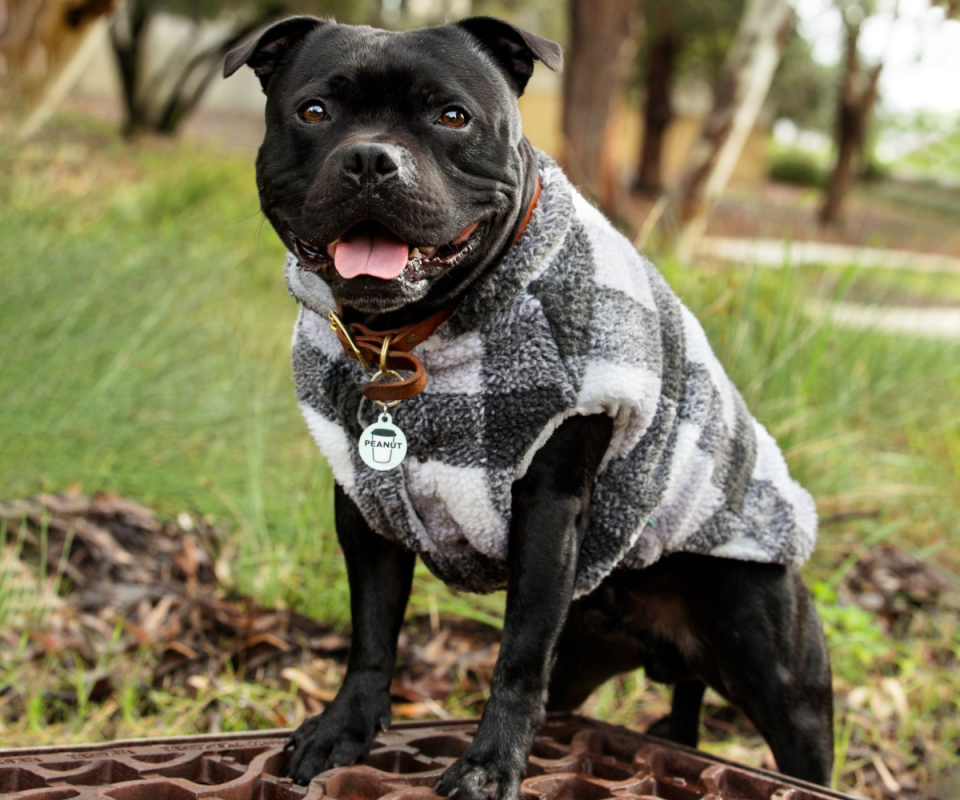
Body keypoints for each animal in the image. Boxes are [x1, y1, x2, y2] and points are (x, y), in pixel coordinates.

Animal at [223, 15, 832, 796]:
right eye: (314, 111)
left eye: (452, 117)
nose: (370, 160)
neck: (407, 340)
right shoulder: (367, 505)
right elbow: (371, 629)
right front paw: (345, 730)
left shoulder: (546, 514)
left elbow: (516, 656)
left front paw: (489, 766)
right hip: (585, 663)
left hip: (784, 685)